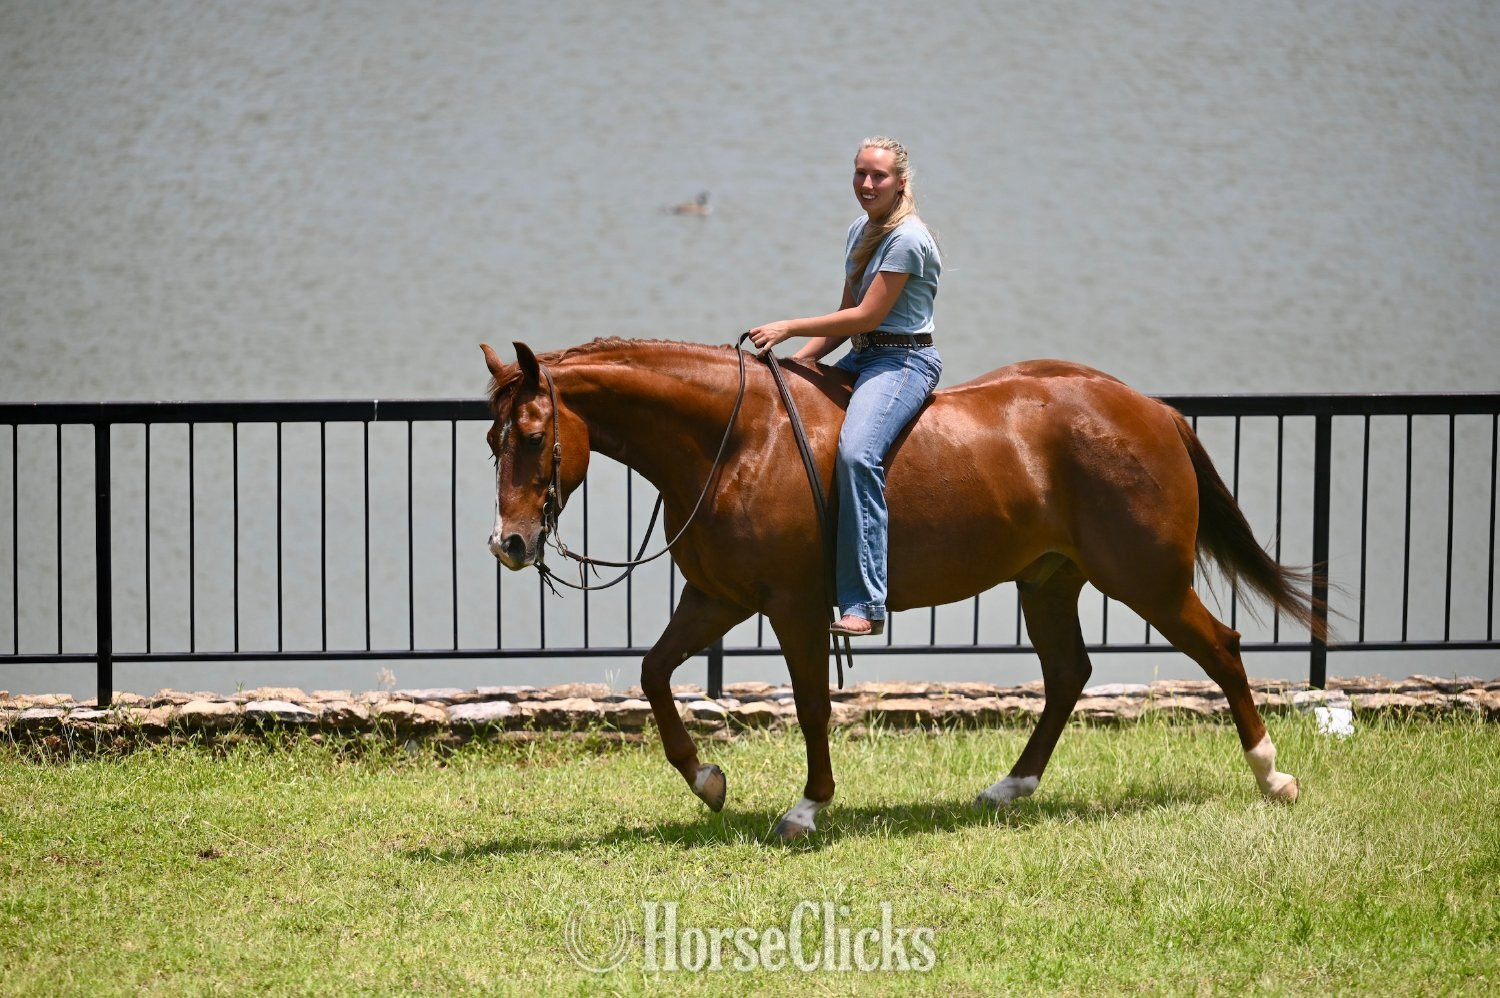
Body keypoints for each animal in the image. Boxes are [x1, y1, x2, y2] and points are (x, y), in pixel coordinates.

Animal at [481, 338, 1319, 841]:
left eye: (533, 435)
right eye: (493, 439)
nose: (509, 544)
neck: (738, 438)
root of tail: (1154, 411)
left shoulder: (791, 606)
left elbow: (812, 706)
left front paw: (807, 807)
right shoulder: (717, 598)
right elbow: (655, 673)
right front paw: (707, 780)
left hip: (1147, 578)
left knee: (1221, 649)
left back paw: (1272, 774)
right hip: (1049, 580)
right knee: (1067, 675)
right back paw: (1011, 787)